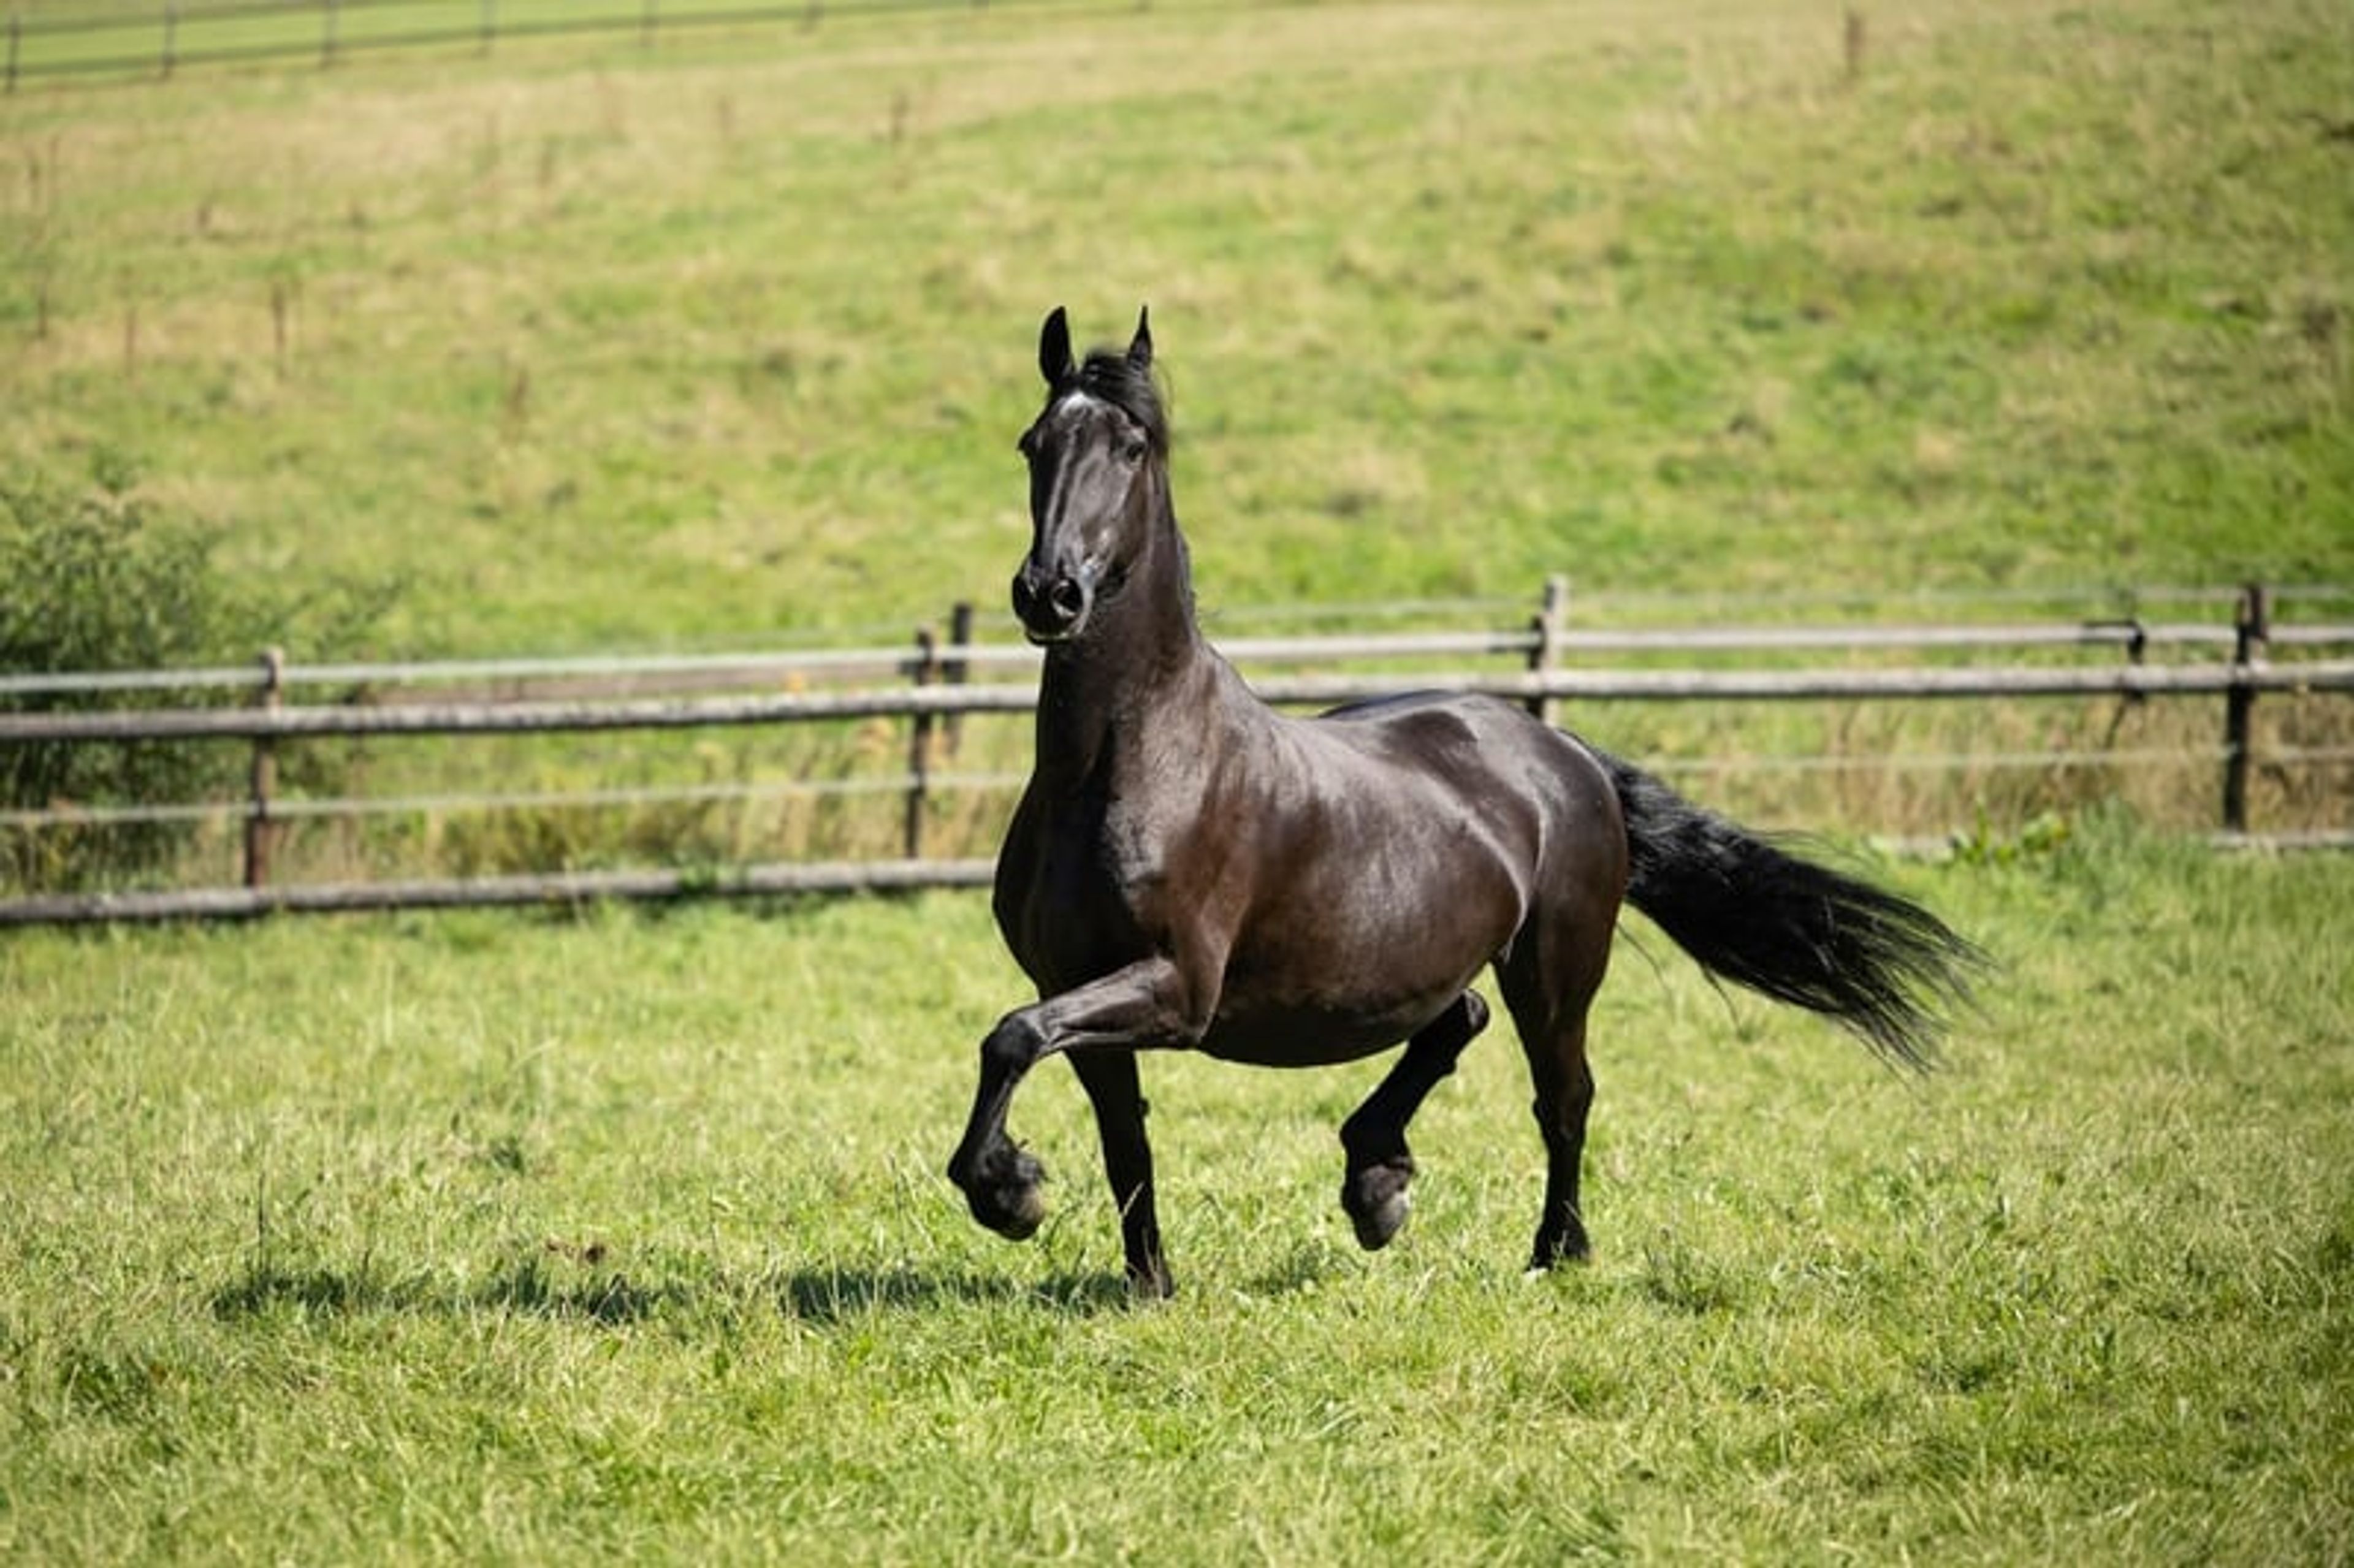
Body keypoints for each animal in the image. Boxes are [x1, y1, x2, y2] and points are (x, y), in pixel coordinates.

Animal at [947, 306, 1982, 1299]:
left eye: (1132, 448)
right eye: (1034, 443)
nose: (1050, 593)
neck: (1128, 767)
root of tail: (1564, 753)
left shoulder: (1178, 986)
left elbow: (1011, 1037)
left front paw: (1011, 1193)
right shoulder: (1079, 985)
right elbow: (1110, 1126)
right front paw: (1142, 1275)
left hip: (1556, 967)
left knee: (1563, 1095)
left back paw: (1554, 1250)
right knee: (1461, 1018)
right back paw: (1377, 1183)